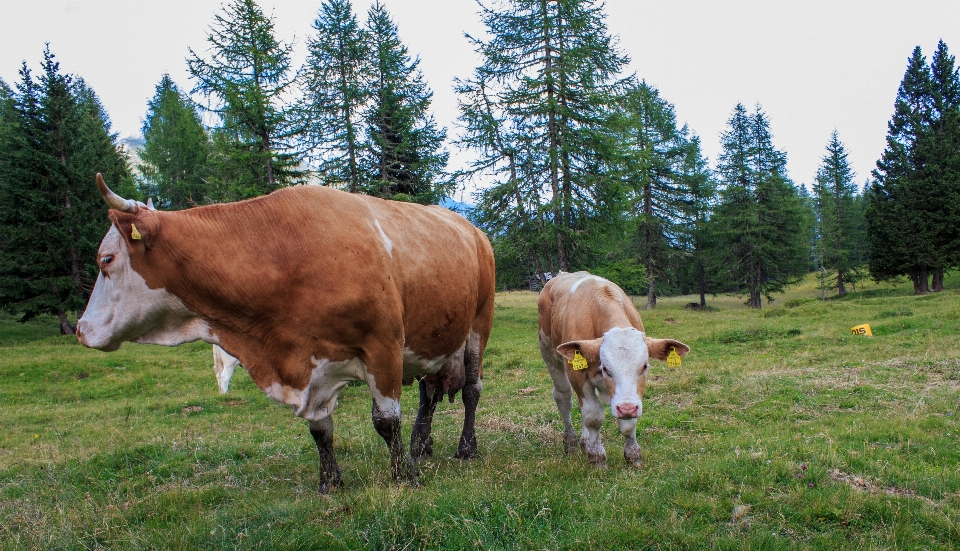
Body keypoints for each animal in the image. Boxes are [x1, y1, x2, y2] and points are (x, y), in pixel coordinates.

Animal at [76, 174, 496, 492]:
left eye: (106, 260)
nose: (80, 330)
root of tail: (472, 228)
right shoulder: (310, 365)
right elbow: (320, 430)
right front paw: (330, 482)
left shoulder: (384, 346)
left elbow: (386, 421)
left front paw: (403, 476)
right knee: (429, 394)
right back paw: (420, 446)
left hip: (479, 323)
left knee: (471, 390)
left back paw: (465, 447)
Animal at [540, 270, 688, 466]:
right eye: (605, 368)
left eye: (644, 366)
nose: (626, 408)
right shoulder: (577, 374)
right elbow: (593, 416)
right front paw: (597, 457)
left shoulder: (630, 397)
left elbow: (628, 424)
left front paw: (633, 455)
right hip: (548, 351)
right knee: (564, 397)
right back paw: (570, 442)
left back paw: (585, 443)